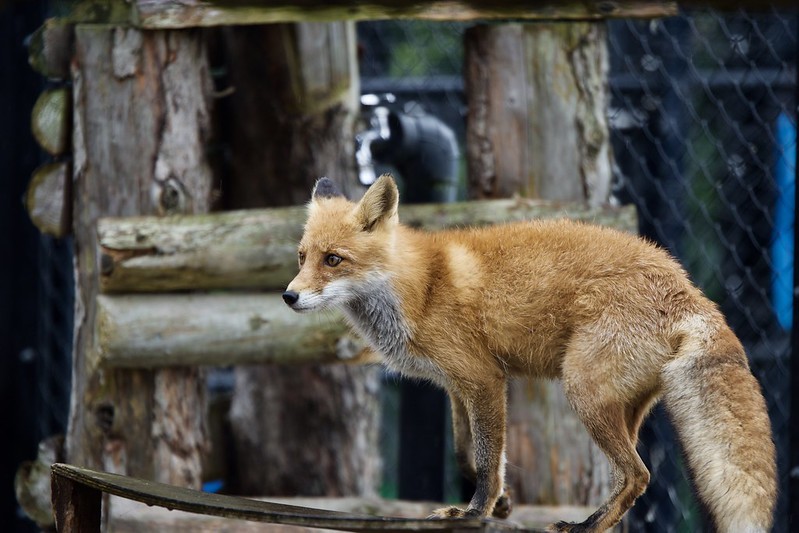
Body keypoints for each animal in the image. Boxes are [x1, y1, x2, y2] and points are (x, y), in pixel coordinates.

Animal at [282, 172, 776, 528]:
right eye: (302, 257)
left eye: (333, 260)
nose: (289, 296)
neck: (420, 289)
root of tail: (686, 288)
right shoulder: (458, 387)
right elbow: (469, 455)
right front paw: (501, 504)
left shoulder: (484, 379)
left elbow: (485, 460)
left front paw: (475, 512)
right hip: (621, 406)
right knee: (629, 478)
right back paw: (593, 522)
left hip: (583, 391)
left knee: (639, 475)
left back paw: (584, 527)